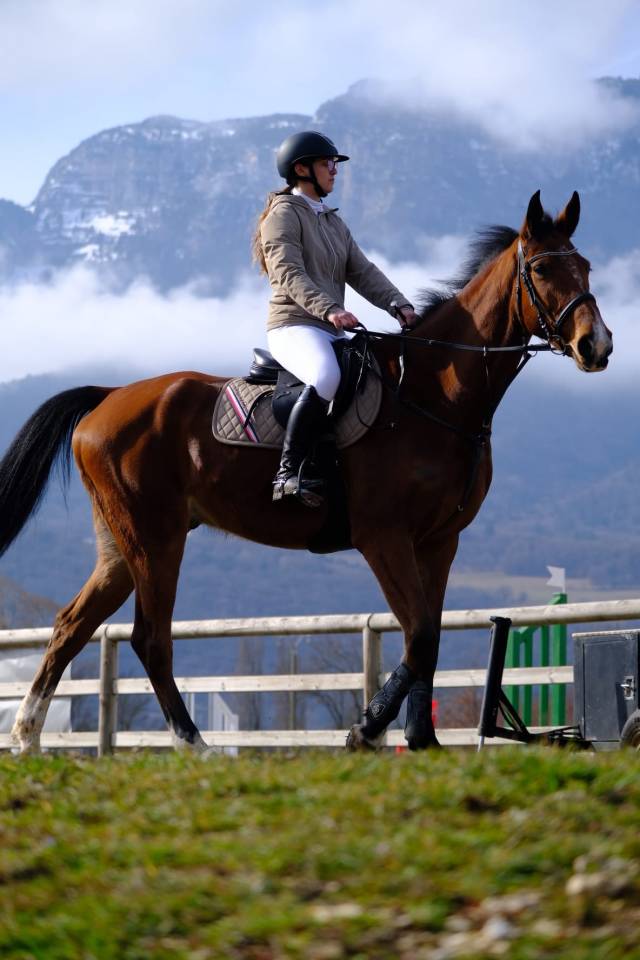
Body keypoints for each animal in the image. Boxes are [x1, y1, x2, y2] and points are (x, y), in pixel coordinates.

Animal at [0, 190, 612, 755]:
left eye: (584, 266)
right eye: (541, 269)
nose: (597, 345)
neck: (433, 393)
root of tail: (107, 397)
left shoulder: (439, 542)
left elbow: (431, 638)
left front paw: (421, 739)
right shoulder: (383, 537)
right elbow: (417, 635)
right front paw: (366, 730)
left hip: (122, 546)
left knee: (70, 626)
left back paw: (28, 740)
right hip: (155, 539)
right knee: (150, 639)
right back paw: (195, 745)